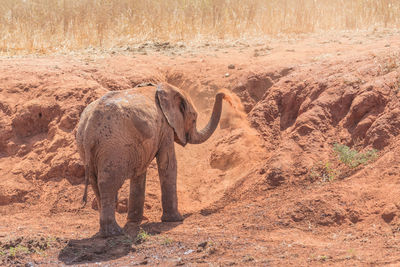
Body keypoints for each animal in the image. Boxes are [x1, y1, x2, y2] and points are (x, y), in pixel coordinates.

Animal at [75, 82, 225, 238]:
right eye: (194, 118)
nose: (222, 93)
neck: (163, 88)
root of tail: (88, 129)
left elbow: (140, 171)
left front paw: (135, 221)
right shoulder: (165, 127)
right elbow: (168, 164)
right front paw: (175, 220)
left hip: (88, 148)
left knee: (95, 183)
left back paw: (106, 232)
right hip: (111, 146)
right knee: (107, 183)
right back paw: (114, 233)